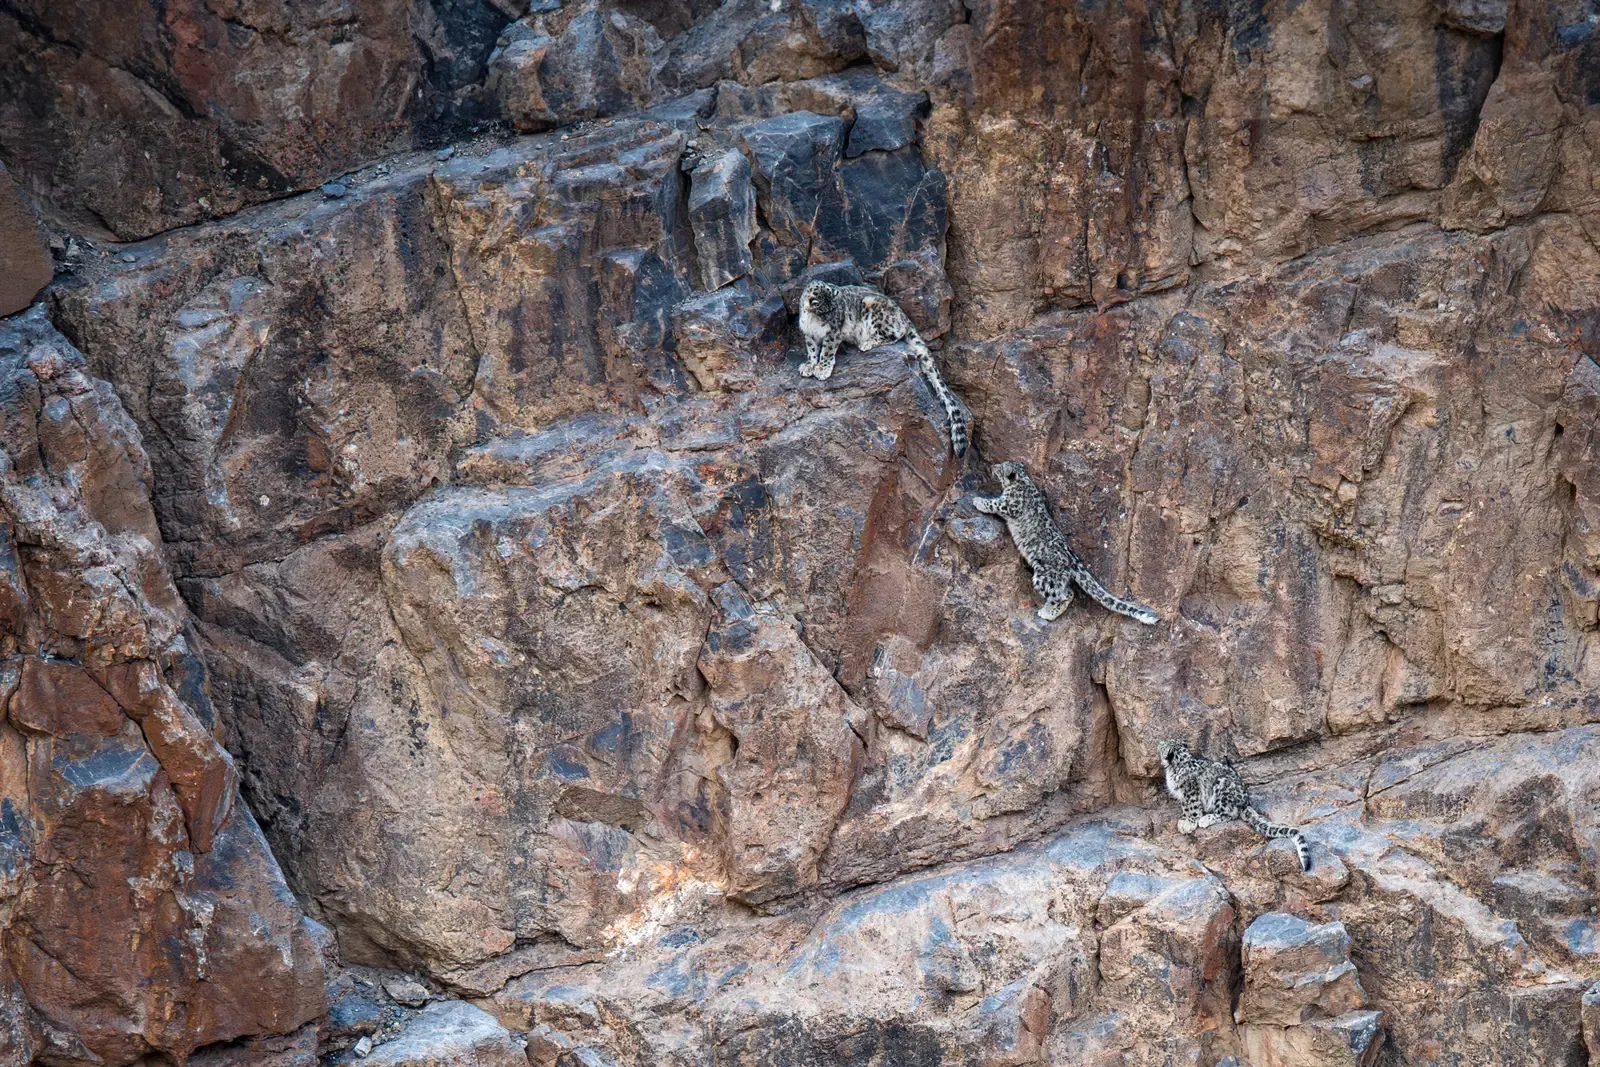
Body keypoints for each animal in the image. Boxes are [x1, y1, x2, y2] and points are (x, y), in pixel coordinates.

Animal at [797, 280, 969, 456]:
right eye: (824, 311)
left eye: (834, 310)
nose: (833, 321)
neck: (813, 322)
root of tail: (903, 315)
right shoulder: (809, 335)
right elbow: (812, 350)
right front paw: (809, 365)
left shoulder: (832, 335)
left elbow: (827, 350)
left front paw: (822, 369)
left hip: (875, 310)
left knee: (895, 334)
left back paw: (866, 342)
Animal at [972, 461, 1159, 625]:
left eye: (1001, 467)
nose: (992, 466)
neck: (1022, 481)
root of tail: (1071, 559)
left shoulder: (1010, 504)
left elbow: (994, 503)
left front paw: (978, 501)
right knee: (1068, 592)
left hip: (1045, 576)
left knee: (1062, 595)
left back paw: (1047, 613)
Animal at [1158, 739, 1312, 872]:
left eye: (1163, 746)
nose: (1158, 744)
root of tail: (1245, 803)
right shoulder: (1183, 796)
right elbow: (1185, 808)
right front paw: (1183, 820)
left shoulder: (1190, 791)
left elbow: (1192, 808)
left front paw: (1190, 823)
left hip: (1221, 788)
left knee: (1227, 815)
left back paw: (1206, 819)